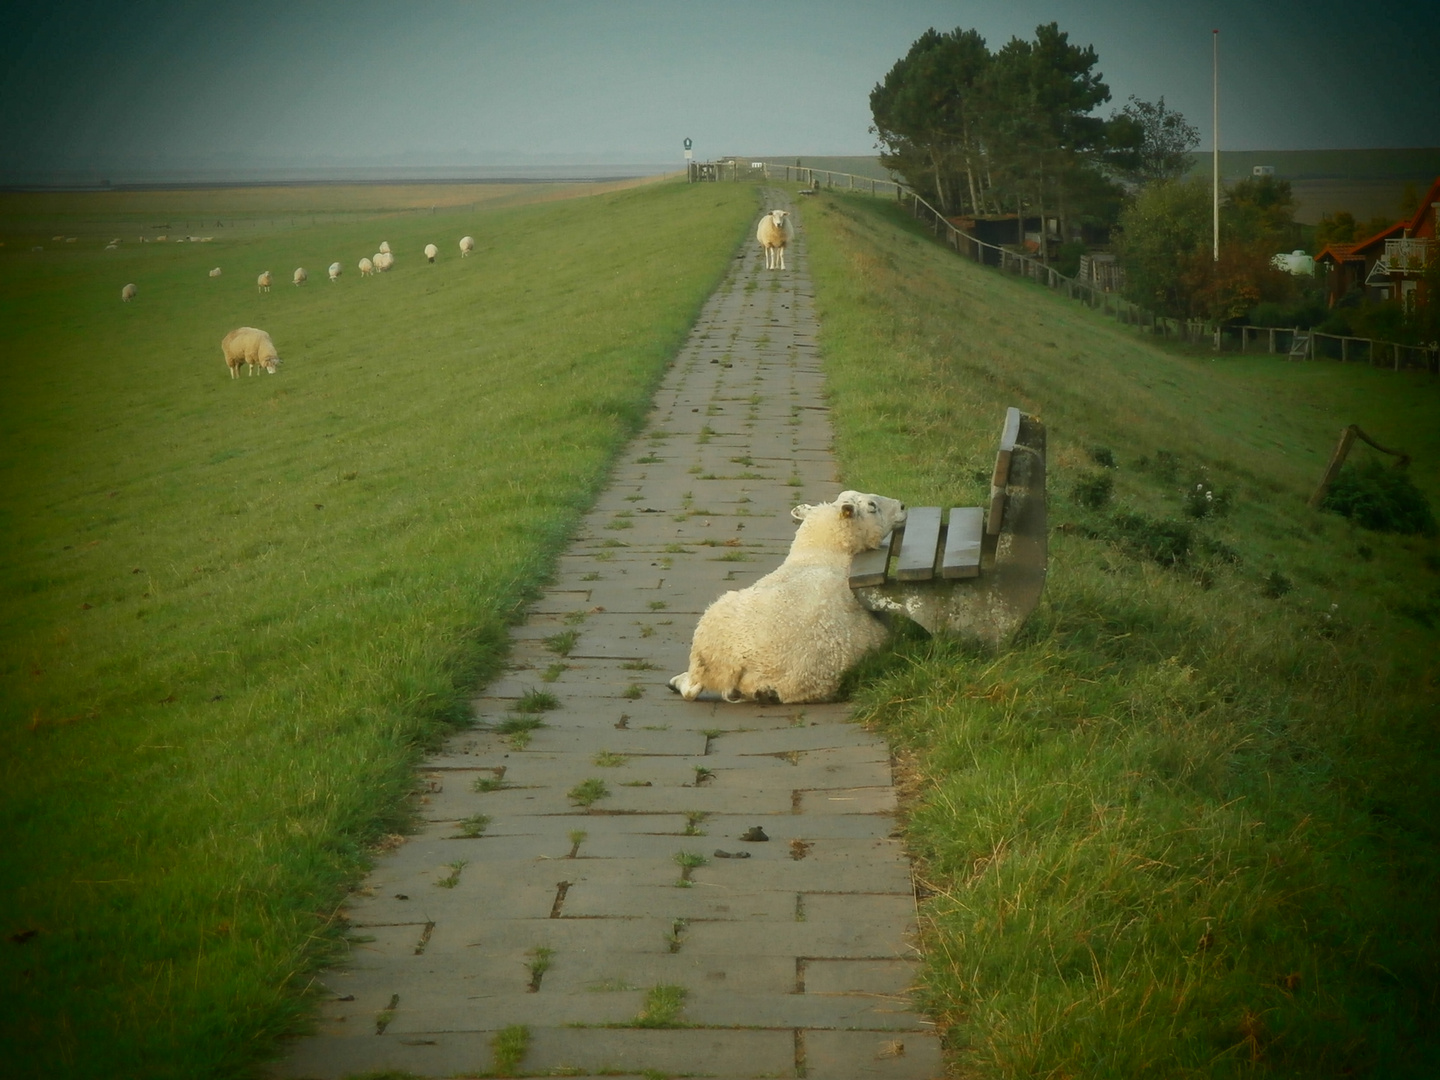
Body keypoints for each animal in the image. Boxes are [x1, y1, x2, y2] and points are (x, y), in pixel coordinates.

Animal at [668, 489, 904, 702]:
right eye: (872, 506)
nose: (902, 506)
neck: (822, 554)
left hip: (709, 637)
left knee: (691, 689)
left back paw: (676, 681)